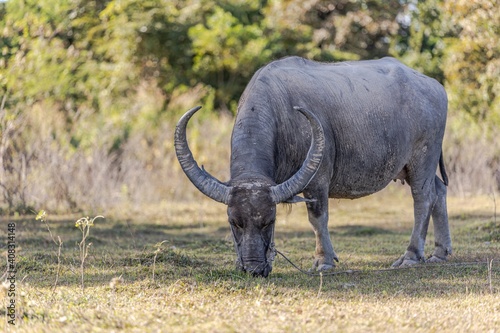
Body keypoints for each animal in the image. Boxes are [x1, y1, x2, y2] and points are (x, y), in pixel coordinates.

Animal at [174, 55, 452, 276]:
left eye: (269, 222)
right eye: (234, 222)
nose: (253, 269)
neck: (282, 112)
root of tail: (435, 86)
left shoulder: (318, 180)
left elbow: (317, 218)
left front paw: (323, 261)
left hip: (423, 159)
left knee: (423, 198)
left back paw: (411, 255)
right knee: (439, 191)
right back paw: (440, 252)